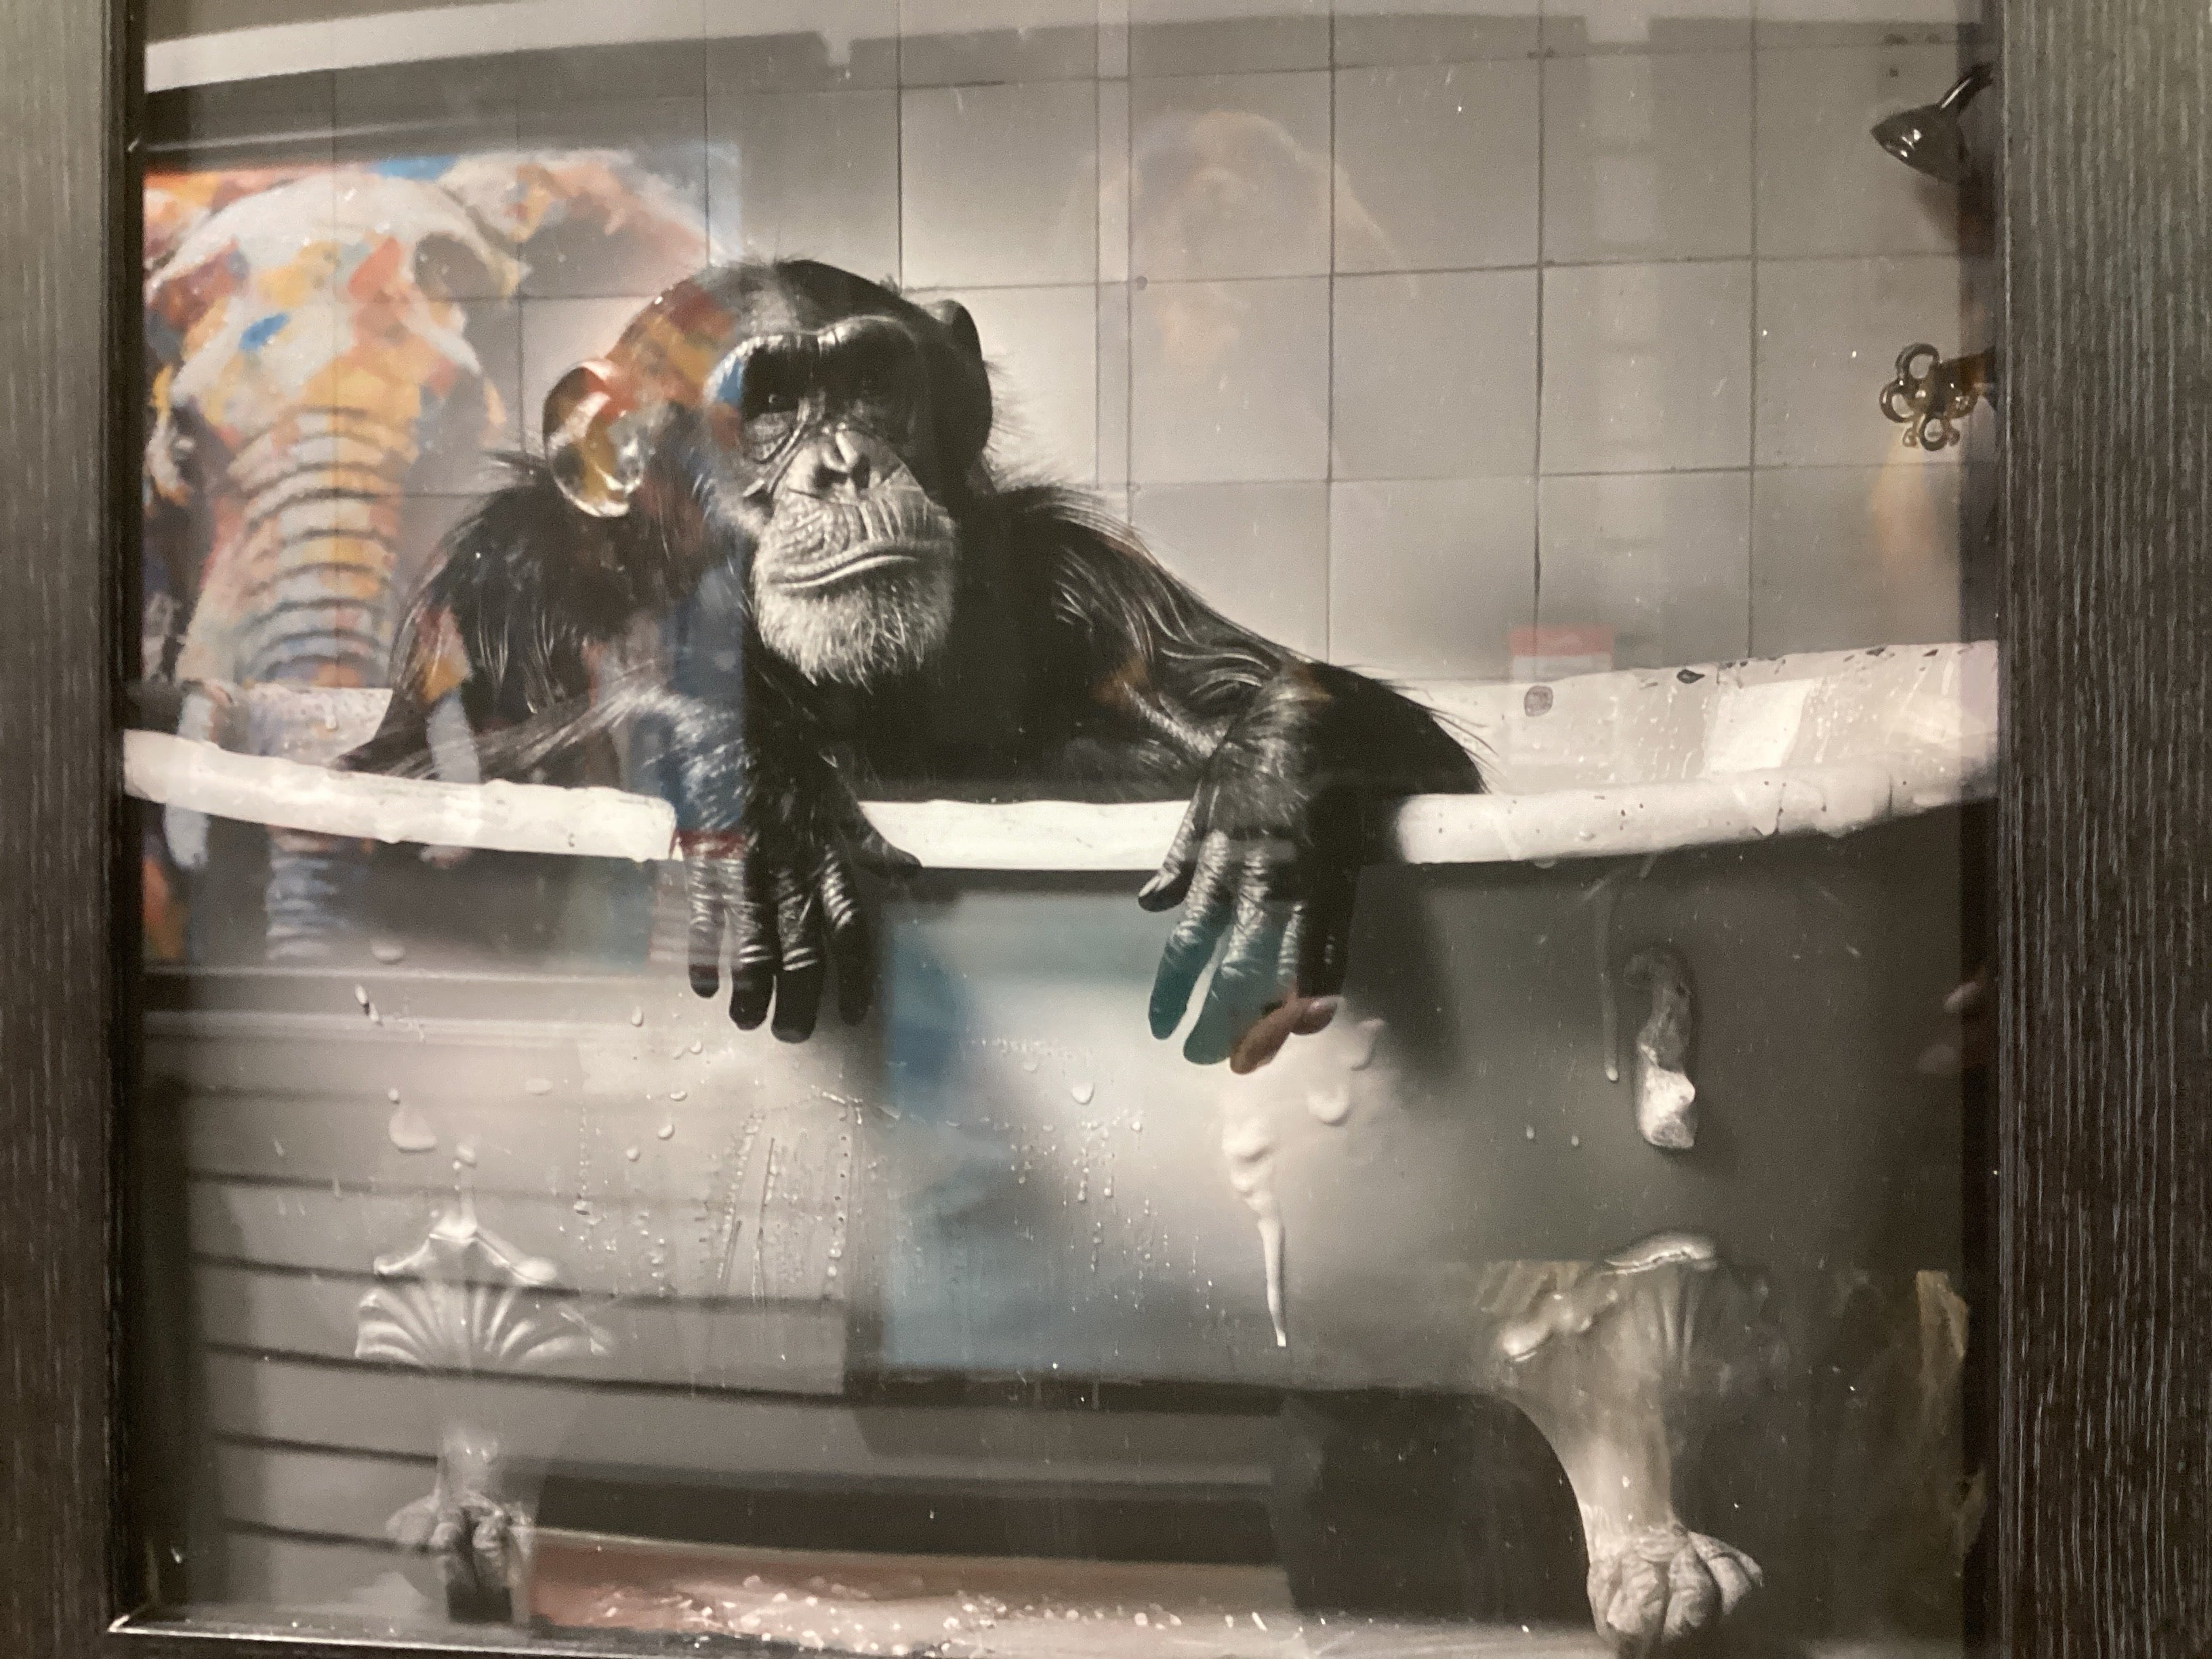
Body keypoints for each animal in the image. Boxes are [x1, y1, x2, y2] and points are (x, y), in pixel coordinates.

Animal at [349, 259, 1482, 1069]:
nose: (846, 463)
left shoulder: (1088, 589)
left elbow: (1363, 736)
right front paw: (751, 780)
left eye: (871, 384)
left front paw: (1269, 791)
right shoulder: (504, 589)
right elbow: (407, 774)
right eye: (767, 406)